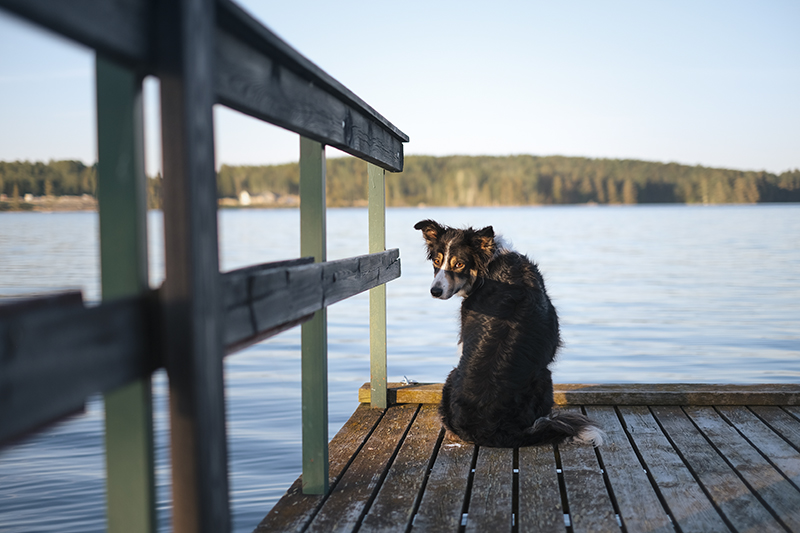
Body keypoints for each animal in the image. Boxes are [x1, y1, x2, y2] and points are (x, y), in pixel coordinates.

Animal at [416, 218, 604, 446]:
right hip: (542, 377)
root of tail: (487, 428)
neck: (490, 265)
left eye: (459, 264)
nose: (435, 291)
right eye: (437, 261)